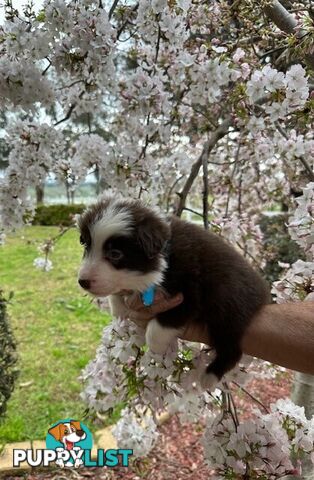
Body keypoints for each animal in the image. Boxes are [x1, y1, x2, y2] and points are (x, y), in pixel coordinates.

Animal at [78, 195, 270, 390]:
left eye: (115, 254)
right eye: (86, 245)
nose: (82, 282)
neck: (165, 256)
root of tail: (264, 292)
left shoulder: (190, 294)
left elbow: (157, 327)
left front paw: (158, 348)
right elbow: (115, 293)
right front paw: (119, 310)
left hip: (227, 309)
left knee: (232, 348)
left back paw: (210, 376)